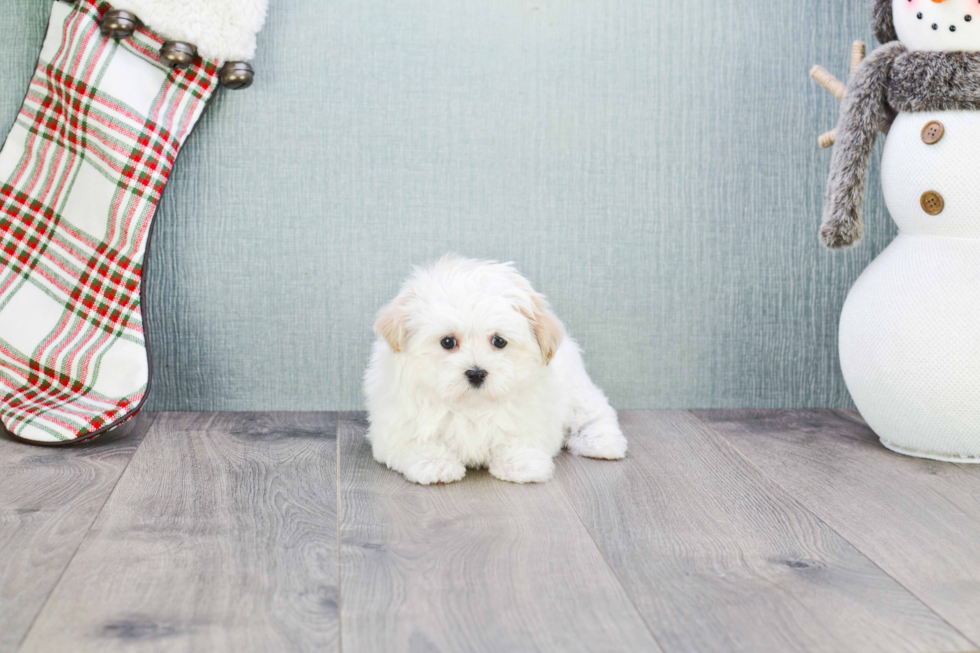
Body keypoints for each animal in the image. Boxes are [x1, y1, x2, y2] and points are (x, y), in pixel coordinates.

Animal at [362, 255, 628, 484]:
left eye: (499, 341)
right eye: (448, 342)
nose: (476, 373)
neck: (472, 405)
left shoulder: (533, 413)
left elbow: (519, 438)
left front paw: (521, 463)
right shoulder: (397, 424)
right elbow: (416, 441)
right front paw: (435, 463)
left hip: (577, 392)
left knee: (595, 413)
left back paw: (603, 442)